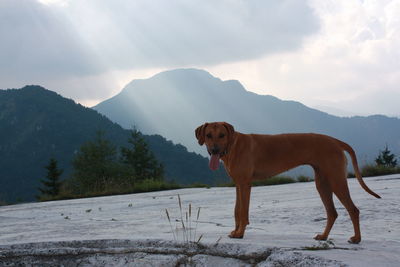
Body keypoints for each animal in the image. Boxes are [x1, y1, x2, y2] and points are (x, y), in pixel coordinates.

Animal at [196, 122, 382, 244]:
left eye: (222, 135)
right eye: (208, 135)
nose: (214, 150)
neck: (232, 145)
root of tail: (335, 141)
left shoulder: (245, 184)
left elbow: (243, 212)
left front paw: (240, 233)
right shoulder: (238, 184)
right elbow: (236, 210)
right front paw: (236, 231)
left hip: (336, 180)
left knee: (353, 209)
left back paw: (357, 238)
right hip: (322, 183)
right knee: (332, 213)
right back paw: (323, 236)